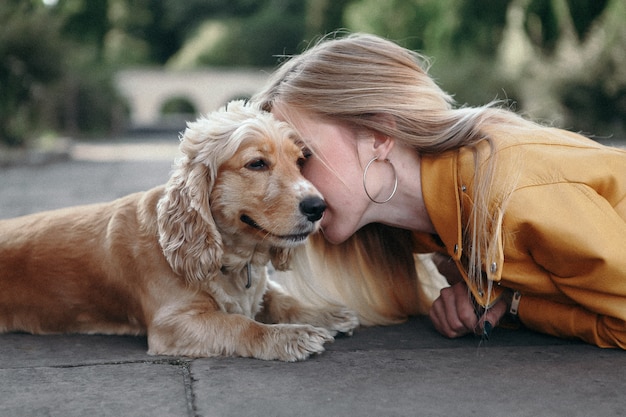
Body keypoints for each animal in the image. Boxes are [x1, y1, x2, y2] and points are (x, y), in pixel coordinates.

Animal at [0, 99, 358, 360]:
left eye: (300, 162)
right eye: (257, 164)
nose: (318, 207)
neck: (229, 260)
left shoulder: (259, 286)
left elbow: (280, 299)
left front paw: (326, 314)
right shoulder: (174, 324)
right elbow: (238, 323)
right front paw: (289, 335)